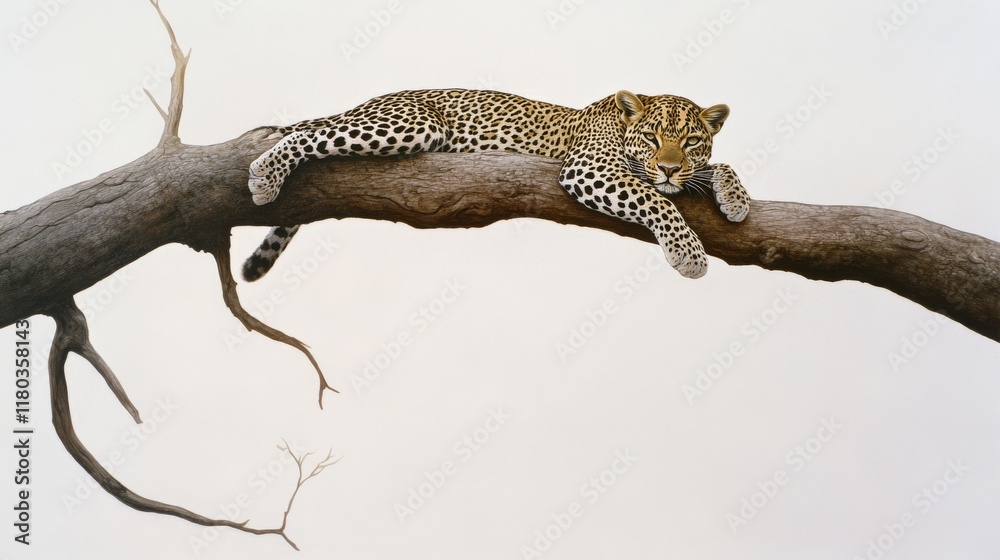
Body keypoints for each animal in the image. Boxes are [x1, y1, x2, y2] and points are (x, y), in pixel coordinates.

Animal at [243, 89, 749, 281]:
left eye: (690, 141)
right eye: (651, 137)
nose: (669, 168)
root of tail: (365, 101)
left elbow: (719, 166)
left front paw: (736, 197)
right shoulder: (589, 167)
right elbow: (655, 200)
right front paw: (688, 253)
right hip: (411, 122)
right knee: (308, 135)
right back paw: (267, 173)